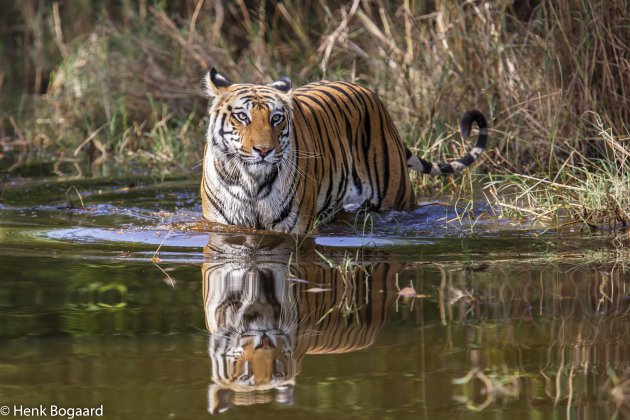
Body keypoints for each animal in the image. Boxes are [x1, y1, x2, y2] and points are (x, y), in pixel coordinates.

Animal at [202, 67, 488, 235]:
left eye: (276, 118)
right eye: (242, 116)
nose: (264, 150)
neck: (253, 181)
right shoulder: (221, 223)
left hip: (395, 197)